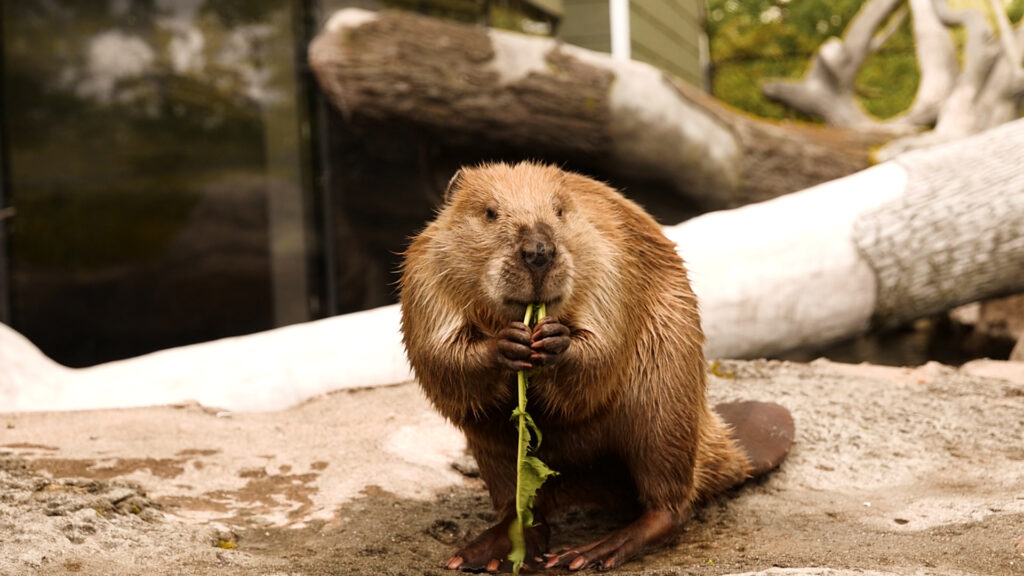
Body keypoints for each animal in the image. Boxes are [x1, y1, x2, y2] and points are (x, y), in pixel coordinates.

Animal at [397, 161, 790, 569]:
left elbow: (603, 351)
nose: (538, 251)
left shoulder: (608, 260)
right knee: (522, 506)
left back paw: (590, 553)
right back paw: (488, 552)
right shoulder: (425, 272)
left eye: (559, 211)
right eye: (490, 212)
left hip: (667, 395)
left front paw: (555, 339)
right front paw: (507, 344)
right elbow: (438, 353)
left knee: (669, 504)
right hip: (493, 451)